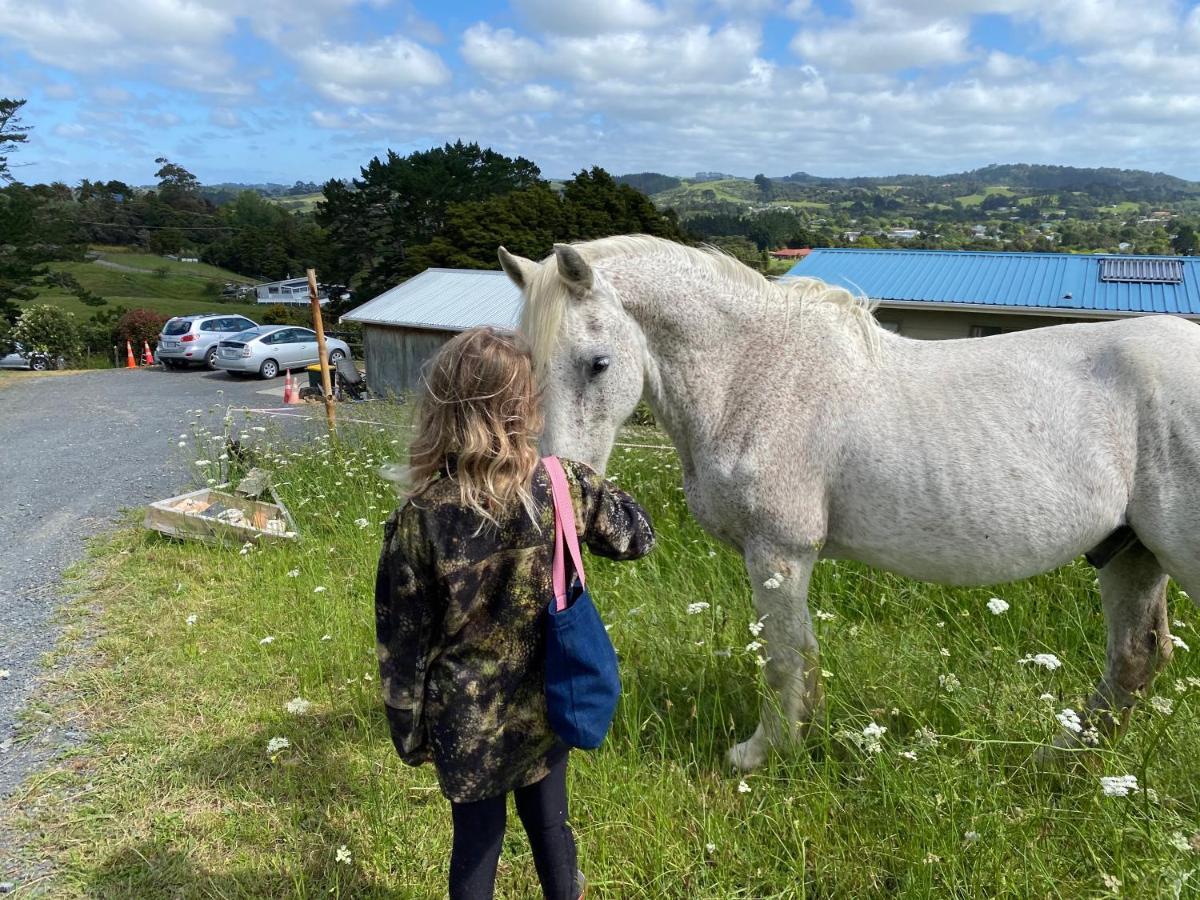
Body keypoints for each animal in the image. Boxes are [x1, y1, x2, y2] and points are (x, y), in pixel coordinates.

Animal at [496, 236, 1200, 772]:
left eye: (597, 363)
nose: (559, 488)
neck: (756, 373)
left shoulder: (779, 552)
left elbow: (784, 656)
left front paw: (765, 753)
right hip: (1130, 553)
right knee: (1134, 659)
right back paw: (1057, 762)